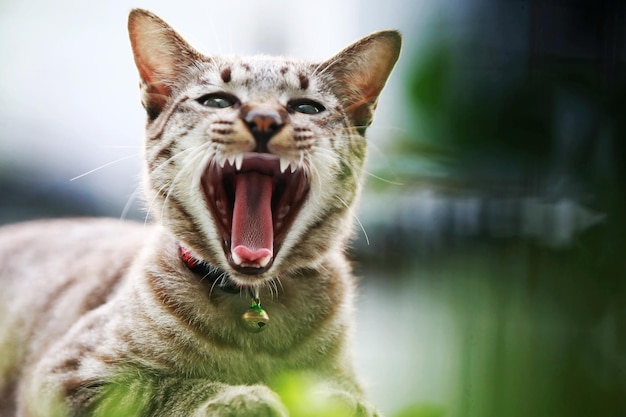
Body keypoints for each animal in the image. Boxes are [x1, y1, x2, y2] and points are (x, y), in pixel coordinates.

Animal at [0, 9, 400, 416]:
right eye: (218, 101)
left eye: (306, 108)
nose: (264, 119)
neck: (253, 314)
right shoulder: (70, 376)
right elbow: (168, 388)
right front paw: (244, 397)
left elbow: (341, 394)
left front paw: (337, 401)